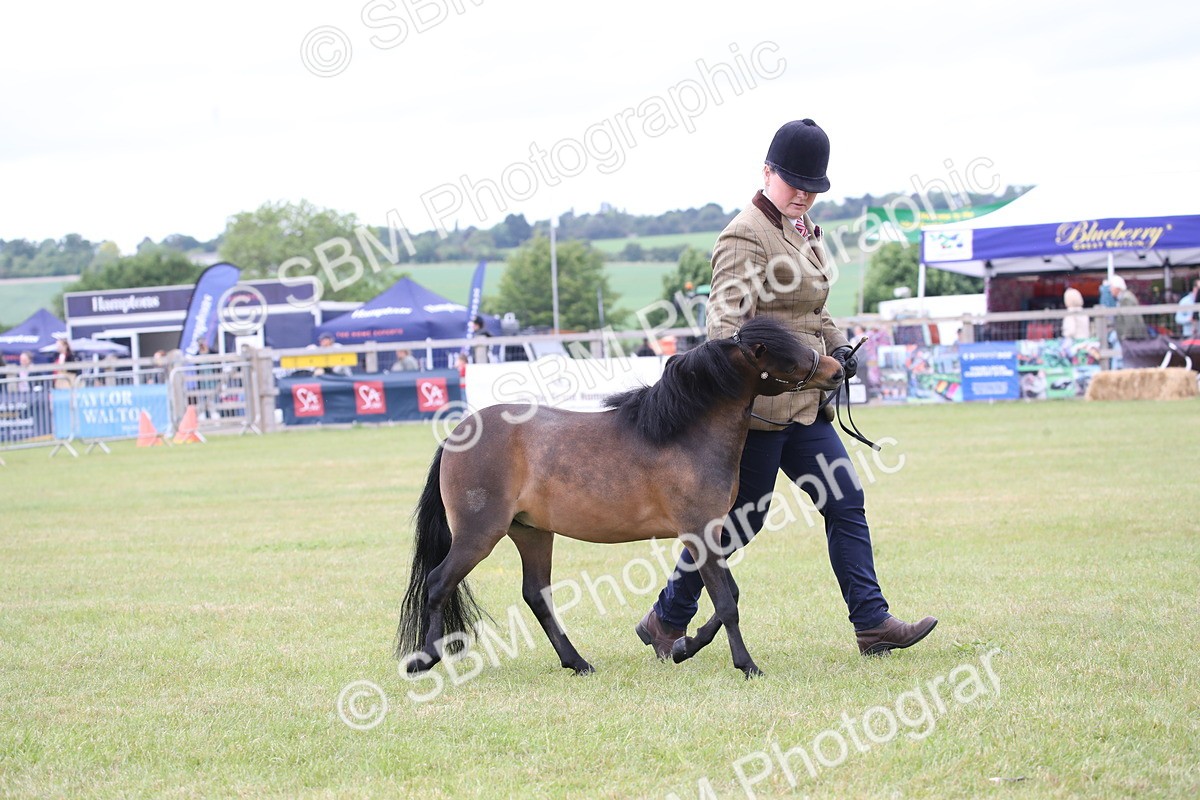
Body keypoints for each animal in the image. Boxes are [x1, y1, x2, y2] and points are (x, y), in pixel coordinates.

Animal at [395, 316, 844, 678]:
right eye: (788, 358)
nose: (839, 369)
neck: (684, 432)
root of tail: (457, 435)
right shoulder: (700, 533)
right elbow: (725, 602)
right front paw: (747, 665)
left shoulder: (710, 534)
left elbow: (727, 597)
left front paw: (683, 647)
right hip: (479, 534)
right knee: (439, 582)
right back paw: (425, 661)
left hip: (532, 532)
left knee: (536, 595)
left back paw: (577, 662)